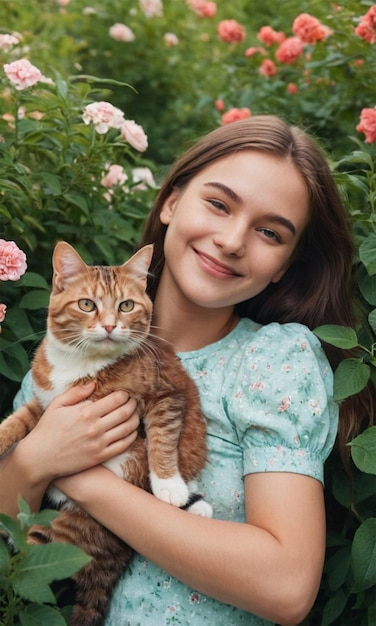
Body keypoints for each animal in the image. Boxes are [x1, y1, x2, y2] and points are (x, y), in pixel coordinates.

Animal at [0, 240, 210, 624]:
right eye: (87, 304)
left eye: (126, 305)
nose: (111, 326)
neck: (82, 364)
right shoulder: (46, 405)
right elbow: (18, 420)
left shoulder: (166, 395)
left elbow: (161, 438)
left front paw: (169, 486)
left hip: (70, 532)